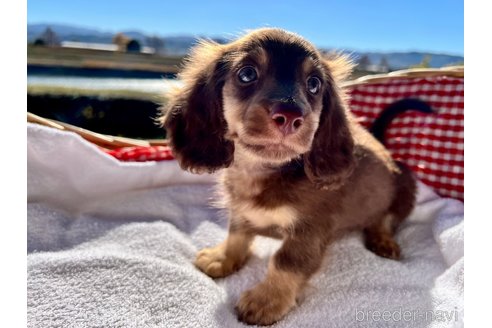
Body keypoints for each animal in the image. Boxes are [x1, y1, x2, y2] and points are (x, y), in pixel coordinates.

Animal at [160, 28, 416, 326]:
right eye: (246, 74)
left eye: (314, 83)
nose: (291, 115)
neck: (262, 171)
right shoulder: (240, 212)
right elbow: (236, 235)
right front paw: (222, 258)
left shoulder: (308, 230)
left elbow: (286, 262)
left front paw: (266, 299)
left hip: (404, 190)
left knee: (385, 220)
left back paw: (382, 240)